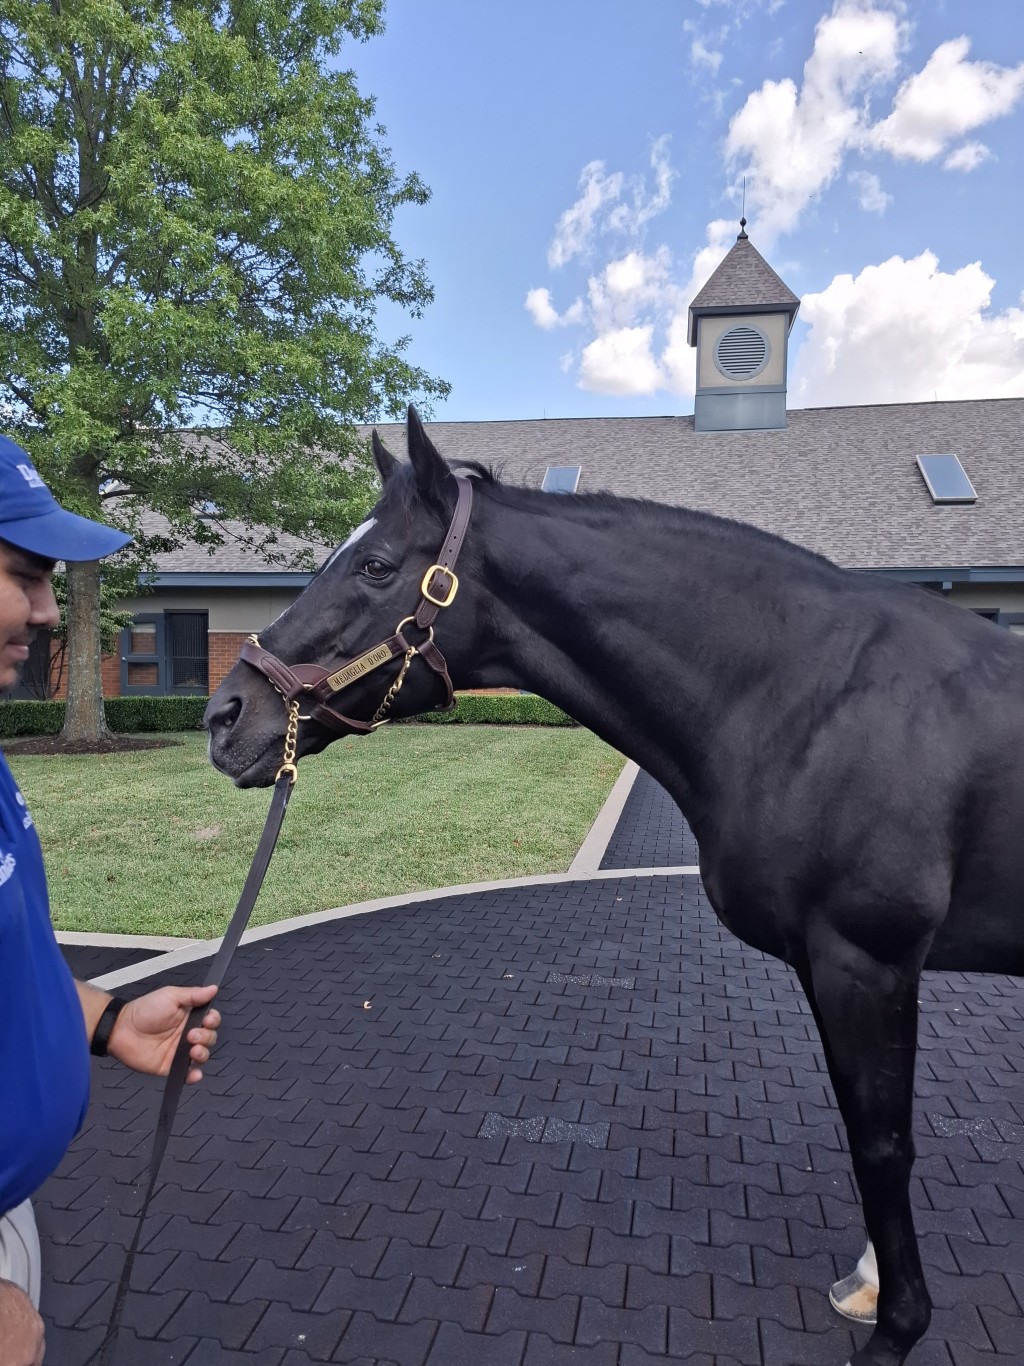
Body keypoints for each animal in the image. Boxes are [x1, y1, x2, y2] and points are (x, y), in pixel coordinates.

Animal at [204, 404, 1021, 1366]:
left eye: (376, 565)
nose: (224, 718)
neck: (814, 695)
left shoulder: (869, 960)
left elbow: (882, 1142)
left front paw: (895, 1327)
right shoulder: (844, 969)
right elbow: (869, 1129)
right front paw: (870, 1284)